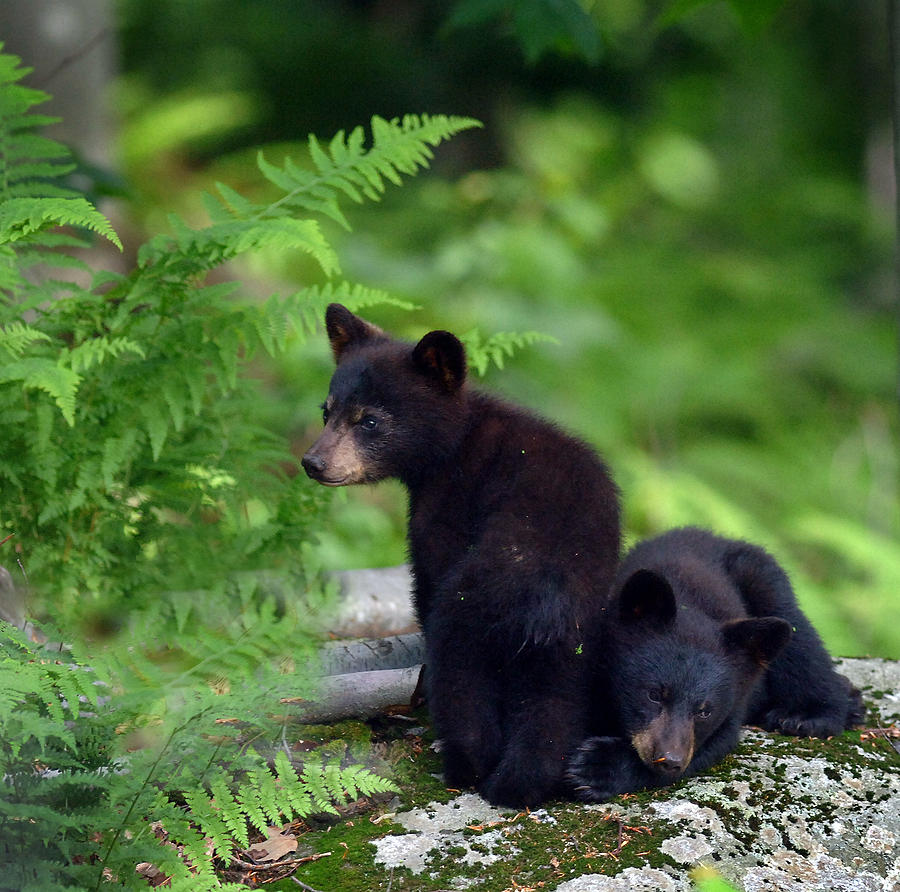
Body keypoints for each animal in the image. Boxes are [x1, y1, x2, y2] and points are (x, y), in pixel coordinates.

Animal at [302, 304, 621, 807]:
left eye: (369, 420)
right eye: (327, 411)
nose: (313, 463)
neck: (451, 443)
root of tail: (545, 588)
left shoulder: (446, 506)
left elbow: (428, 571)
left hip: (474, 606)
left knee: (463, 680)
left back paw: (463, 764)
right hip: (575, 630)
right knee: (555, 704)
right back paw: (522, 782)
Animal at [566, 526, 865, 802]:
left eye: (705, 711)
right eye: (653, 694)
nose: (670, 759)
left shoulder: (734, 704)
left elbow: (714, 745)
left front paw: (599, 768)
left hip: (765, 582)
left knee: (800, 639)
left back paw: (810, 715)